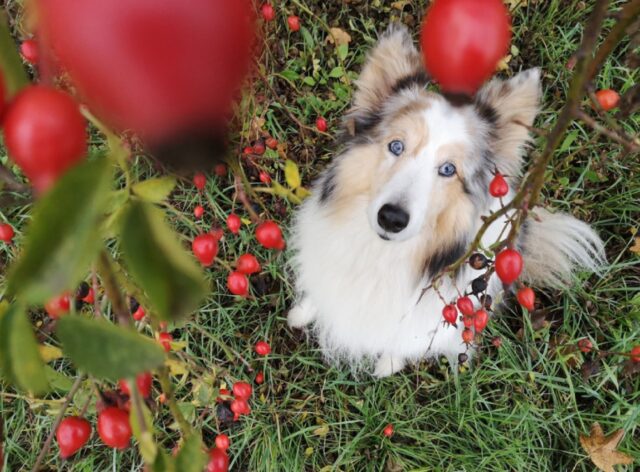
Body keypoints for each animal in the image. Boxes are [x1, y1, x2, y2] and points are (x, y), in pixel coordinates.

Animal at [288, 25, 604, 378]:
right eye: (396, 146)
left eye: (448, 169)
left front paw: (388, 363)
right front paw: (301, 313)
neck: (381, 256)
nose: (392, 219)